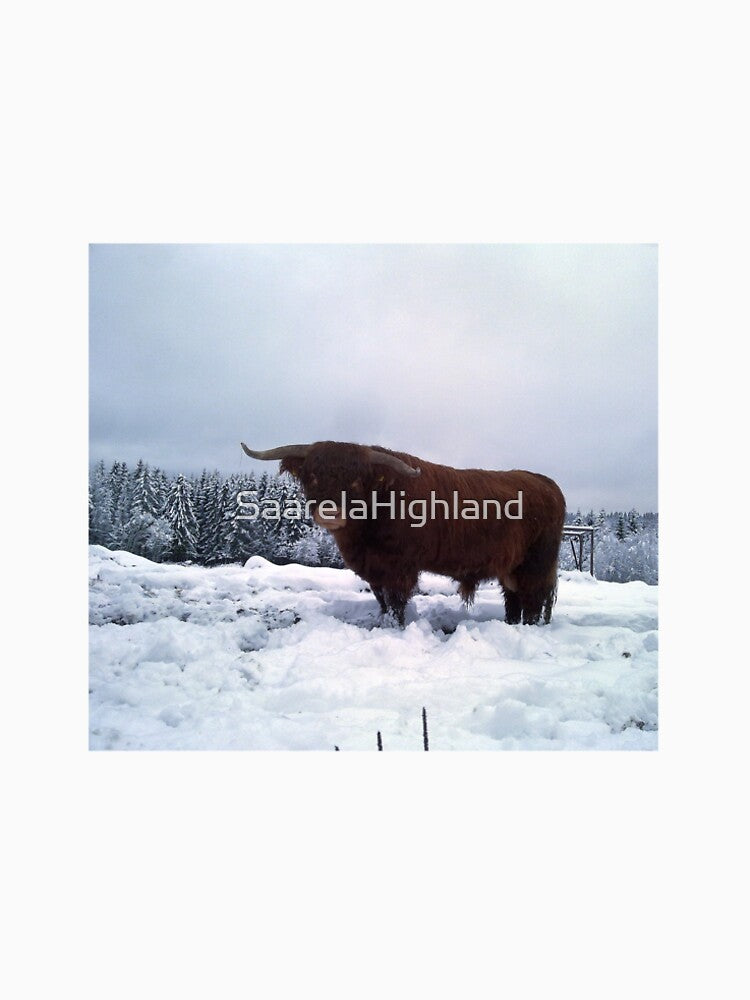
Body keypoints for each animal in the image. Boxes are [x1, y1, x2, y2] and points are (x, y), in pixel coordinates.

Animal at [241, 441, 566, 627]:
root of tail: (547, 483)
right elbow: (382, 600)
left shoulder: (400, 566)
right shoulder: (375, 569)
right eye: (313, 475)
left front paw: (396, 627)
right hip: (513, 567)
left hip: (537, 563)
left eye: (357, 481)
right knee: (514, 599)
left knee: (532, 600)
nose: (331, 512)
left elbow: (396, 602)